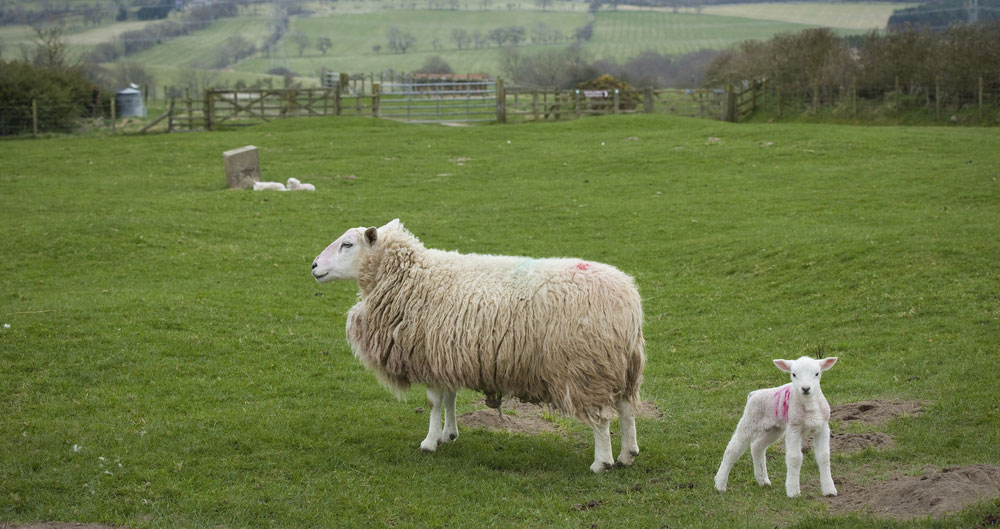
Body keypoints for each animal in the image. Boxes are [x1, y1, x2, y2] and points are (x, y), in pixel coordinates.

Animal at [308, 217, 644, 472]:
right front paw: (448, 434)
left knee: (601, 417)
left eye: (347, 244)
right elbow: (450, 398)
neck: (412, 276)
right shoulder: (445, 355)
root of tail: (628, 299)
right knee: (627, 409)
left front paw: (428, 442)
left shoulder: (429, 355)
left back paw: (602, 463)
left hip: (587, 367)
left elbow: (434, 402)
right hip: (625, 365)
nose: (313, 266)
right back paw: (627, 455)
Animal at [716, 354, 840, 496]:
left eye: (817, 373)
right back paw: (720, 484)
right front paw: (793, 492)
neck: (809, 406)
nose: (805, 388)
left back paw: (763, 480)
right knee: (732, 449)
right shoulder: (794, 427)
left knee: (757, 446)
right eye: (793, 374)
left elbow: (824, 456)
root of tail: (753, 394)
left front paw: (829, 490)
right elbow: (794, 457)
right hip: (750, 420)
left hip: (774, 428)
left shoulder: (823, 426)